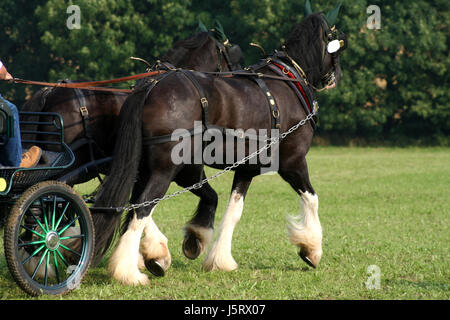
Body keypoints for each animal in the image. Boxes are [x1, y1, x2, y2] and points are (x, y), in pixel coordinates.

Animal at [93, 12, 348, 286]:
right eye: (335, 44)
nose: (336, 76)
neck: (289, 81)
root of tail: (151, 85)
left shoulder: (246, 168)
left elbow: (233, 210)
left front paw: (216, 256)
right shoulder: (293, 161)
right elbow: (312, 198)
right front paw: (311, 248)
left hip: (144, 168)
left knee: (132, 205)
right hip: (165, 169)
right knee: (141, 207)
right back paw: (128, 271)